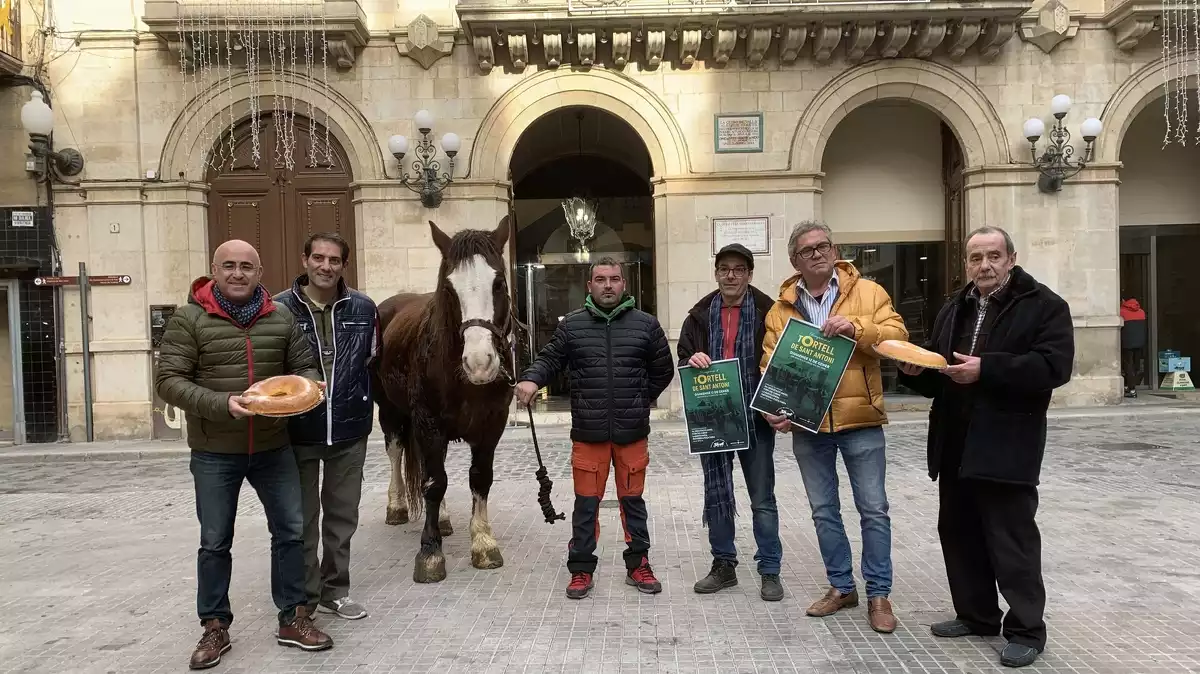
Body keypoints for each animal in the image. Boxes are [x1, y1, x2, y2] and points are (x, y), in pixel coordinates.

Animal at [369, 218, 511, 580]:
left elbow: (479, 479)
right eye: (448, 289)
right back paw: (397, 506)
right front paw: (430, 552)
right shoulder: (428, 421)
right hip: (391, 412)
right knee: (398, 454)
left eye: (499, 283)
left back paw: (444, 519)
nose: (479, 362)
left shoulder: (492, 425)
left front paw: (483, 544)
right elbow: (434, 483)